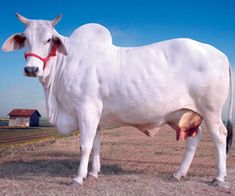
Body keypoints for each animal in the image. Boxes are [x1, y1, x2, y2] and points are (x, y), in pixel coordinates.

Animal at [2, 13, 233, 185]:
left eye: (49, 39)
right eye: (26, 39)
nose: (31, 69)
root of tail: (221, 54)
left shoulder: (87, 108)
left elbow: (85, 145)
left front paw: (78, 177)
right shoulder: (96, 115)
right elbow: (96, 144)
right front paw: (93, 173)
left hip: (210, 110)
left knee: (220, 136)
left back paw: (219, 178)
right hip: (184, 114)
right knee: (194, 138)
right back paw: (178, 173)